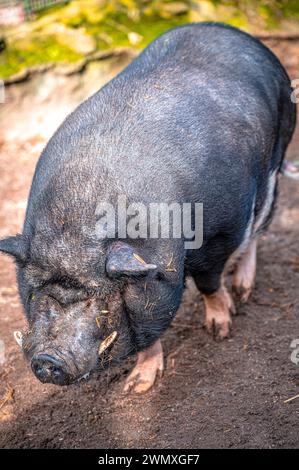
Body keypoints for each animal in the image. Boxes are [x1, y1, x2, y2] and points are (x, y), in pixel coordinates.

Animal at [0, 23, 296, 392]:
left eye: (95, 296)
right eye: (39, 289)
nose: (47, 360)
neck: (76, 223)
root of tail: (239, 34)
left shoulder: (218, 234)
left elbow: (206, 285)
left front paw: (220, 330)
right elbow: (146, 331)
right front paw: (136, 387)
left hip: (276, 158)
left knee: (261, 224)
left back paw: (242, 290)